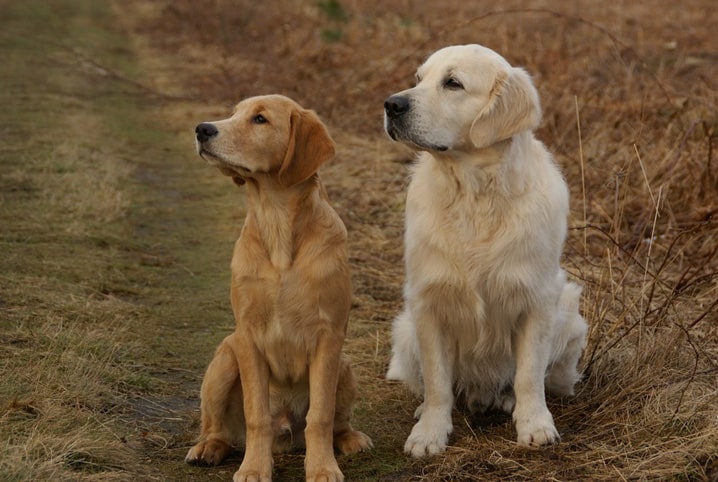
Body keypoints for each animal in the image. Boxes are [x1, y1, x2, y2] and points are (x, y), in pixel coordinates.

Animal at [187, 95, 372, 482]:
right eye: (234, 113)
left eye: (260, 119)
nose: (202, 129)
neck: (276, 221)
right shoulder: (247, 336)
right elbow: (256, 415)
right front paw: (254, 468)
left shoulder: (328, 336)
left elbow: (321, 416)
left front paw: (322, 468)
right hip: (224, 359)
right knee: (219, 428)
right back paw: (208, 448)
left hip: (345, 366)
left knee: (336, 422)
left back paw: (350, 438)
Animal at [386, 44, 588, 456]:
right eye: (418, 79)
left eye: (453, 83)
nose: (391, 104)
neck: (474, 195)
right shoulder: (428, 302)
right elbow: (437, 382)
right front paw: (430, 432)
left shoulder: (537, 300)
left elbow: (529, 375)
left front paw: (535, 424)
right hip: (405, 330)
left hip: (570, 317)